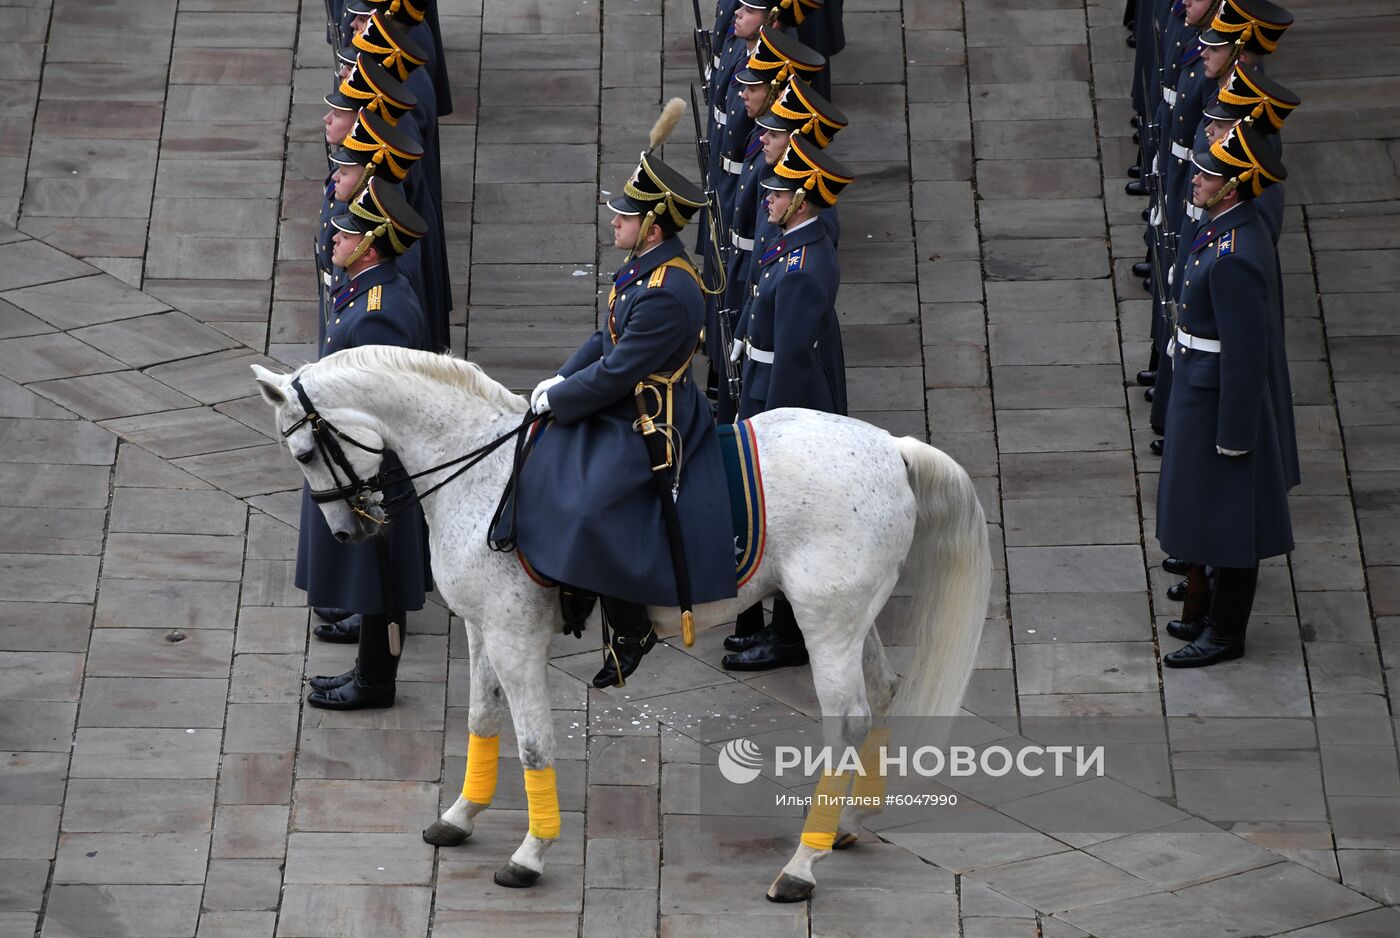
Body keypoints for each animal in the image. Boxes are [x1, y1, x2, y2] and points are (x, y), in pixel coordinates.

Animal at [254, 347, 996, 901]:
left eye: (304, 454)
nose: (348, 533)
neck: (482, 471)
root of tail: (893, 448)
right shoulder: (482, 629)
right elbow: (481, 720)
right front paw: (462, 816)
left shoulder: (516, 639)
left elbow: (533, 744)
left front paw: (530, 853)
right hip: (848, 618)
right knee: (883, 694)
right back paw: (846, 823)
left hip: (826, 622)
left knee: (845, 720)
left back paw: (801, 865)